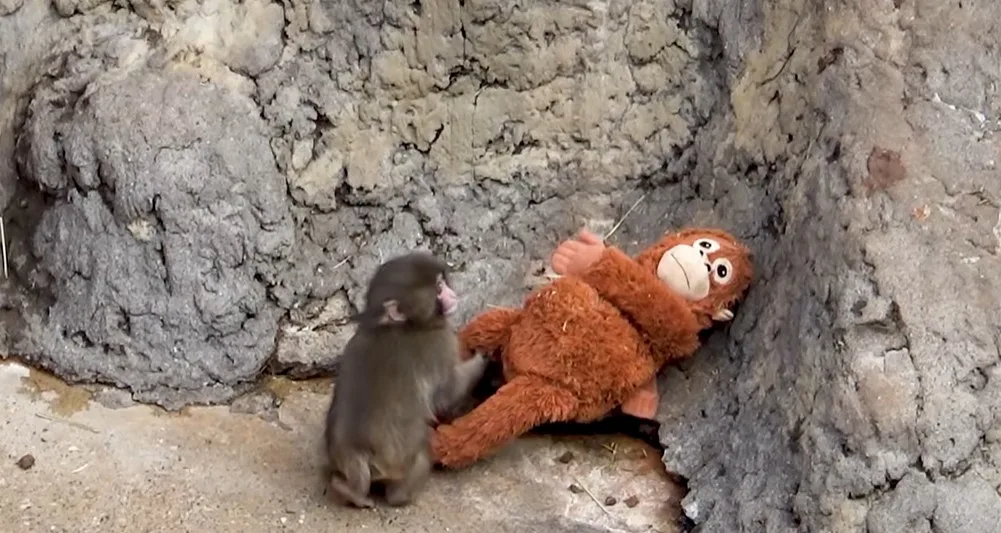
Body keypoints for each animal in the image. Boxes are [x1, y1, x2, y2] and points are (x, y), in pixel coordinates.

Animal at [323, 251, 488, 508]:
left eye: (442, 282)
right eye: (438, 288)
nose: (452, 294)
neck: (397, 325)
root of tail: (356, 451)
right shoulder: (439, 344)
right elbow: (446, 394)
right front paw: (483, 358)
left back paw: (348, 491)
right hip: (398, 464)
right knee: (422, 453)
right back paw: (399, 496)